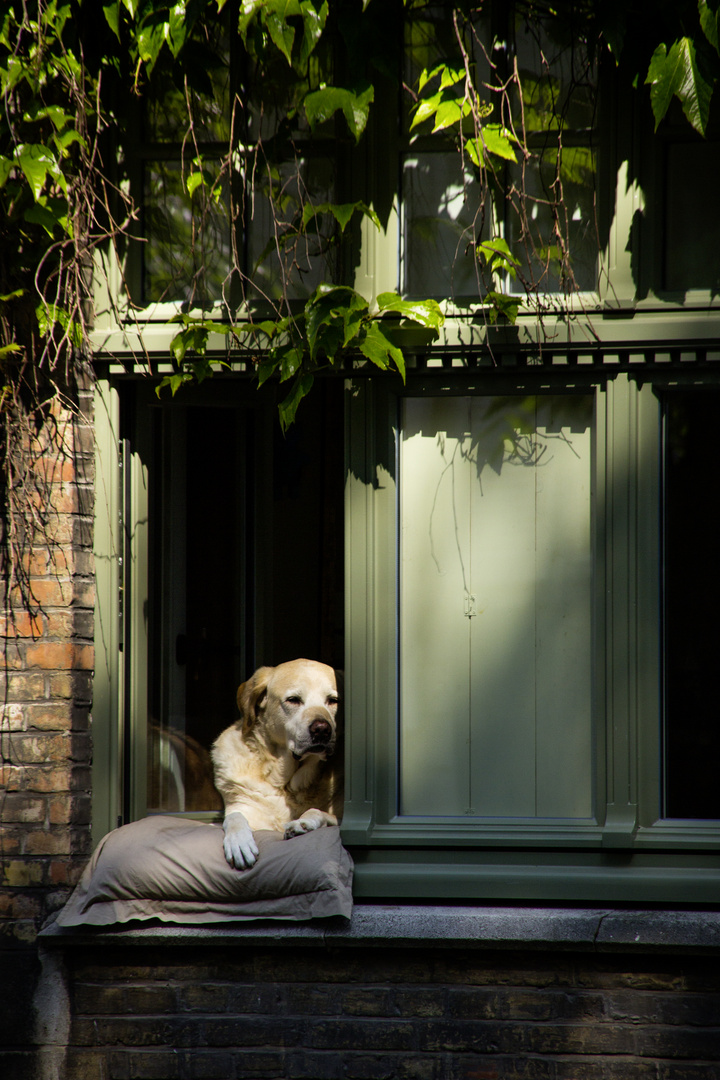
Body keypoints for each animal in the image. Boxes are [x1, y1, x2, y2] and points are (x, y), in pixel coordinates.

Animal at [211, 656, 343, 868]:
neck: (286, 784)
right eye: (293, 700)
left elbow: (317, 811)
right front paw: (239, 842)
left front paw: (302, 823)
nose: (322, 729)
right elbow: (234, 817)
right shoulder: (244, 805)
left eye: (333, 700)